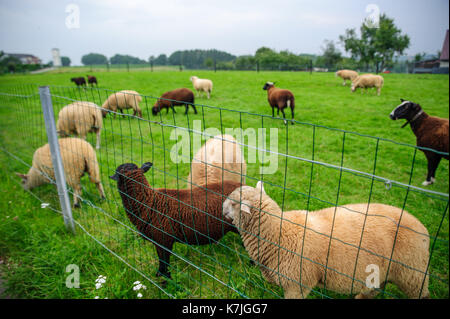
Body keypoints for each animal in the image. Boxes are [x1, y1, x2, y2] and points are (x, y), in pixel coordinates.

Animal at [223, 182, 430, 300]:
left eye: (233, 204)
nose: (221, 209)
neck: (279, 233)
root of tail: (423, 229)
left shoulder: (298, 283)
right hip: (384, 271)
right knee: (373, 289)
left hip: (413, 273)